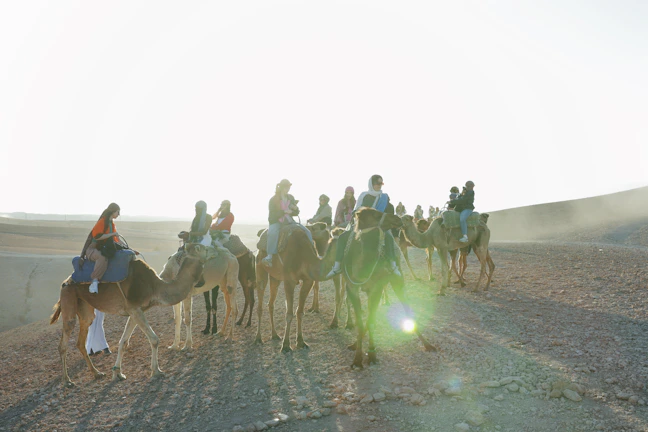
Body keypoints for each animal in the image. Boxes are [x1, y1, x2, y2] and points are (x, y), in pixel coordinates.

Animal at [49, 255, 204, 386]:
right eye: (202, 265)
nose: (202, 281)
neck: (154, 286)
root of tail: (65, 282)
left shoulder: (135, 311)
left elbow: (123, 342)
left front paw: (117, 373)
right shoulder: (134, 308)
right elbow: (154, 339)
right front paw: (156, 371)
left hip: (85, 306)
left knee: (81, 340)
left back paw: (97, 373)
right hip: (68, 298)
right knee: (64, 341)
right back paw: (67, 380)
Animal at [342, 208, 436, 368]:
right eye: (375, 214)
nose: (397, 218)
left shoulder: (377, 286)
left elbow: (371, 320)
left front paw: (372, 355)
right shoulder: (352, 288)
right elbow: (361, 322)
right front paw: (357, 359)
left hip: (397, 278)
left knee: (405, 306)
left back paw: (427, 344)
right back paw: (354, 344)